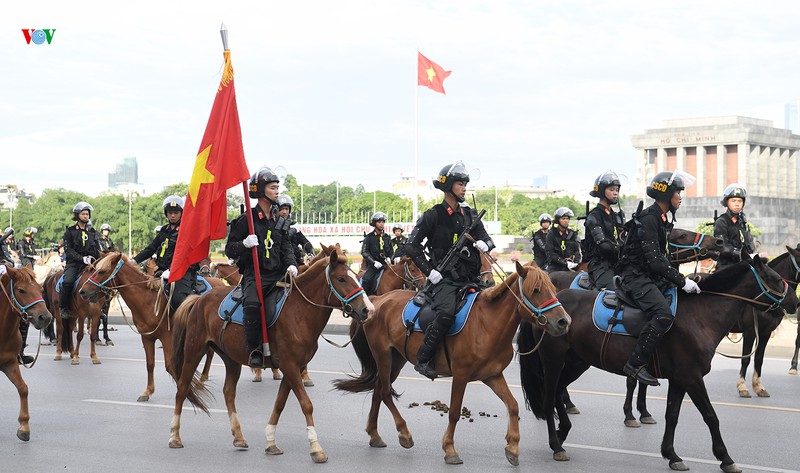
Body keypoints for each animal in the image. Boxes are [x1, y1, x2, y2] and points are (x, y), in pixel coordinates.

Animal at [0, 268, 52, 440]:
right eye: (21, 290)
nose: (45, 317)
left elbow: (23, 388)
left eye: (41, 289)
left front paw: (24, 426)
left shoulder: (9, 362)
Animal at [76, 253, 223, 400]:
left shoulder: (167, 338)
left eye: (102, 271)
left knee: (209, 353)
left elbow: (171, 366)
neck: (148, 300)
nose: (82, 291)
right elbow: (150, 364)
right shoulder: (147, 337)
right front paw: (148, 391)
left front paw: (186, 392)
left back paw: (202, 380)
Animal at [169, 243, 376, 460]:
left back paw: (238, 436)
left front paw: (270, 442)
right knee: (182, 388)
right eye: (342, 278)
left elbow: (279, 404)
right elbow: (306, 404)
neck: (300, 312)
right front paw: (316, 447)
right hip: (194, 351)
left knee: (228, 392)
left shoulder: (293, 367)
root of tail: (199, 299)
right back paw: (174, 436)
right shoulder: (290, 366)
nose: (368, 310)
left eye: (356, 276)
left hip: (231, 358)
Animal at [334, 262, 572, 464]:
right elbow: (455, 412)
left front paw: (512, 447)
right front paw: (449, 449)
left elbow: (513, 405)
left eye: (553, 287)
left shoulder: (492, 375)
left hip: (396, 359)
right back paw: (404, 433)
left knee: (378, 389)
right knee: (384, 392)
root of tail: (376, 300)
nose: (564, 321)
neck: (488, 324)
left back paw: (374, 435)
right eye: (536, 290)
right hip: (383, 356)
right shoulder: (461, 375)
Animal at [516, 254, 796, 472]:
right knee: (549, 396)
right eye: (774, 278)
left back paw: (563, 431)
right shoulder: (692, 378)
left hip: (577, 362)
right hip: (554, 361)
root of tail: (548, 306)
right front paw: (725, 457)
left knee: (557, 393)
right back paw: (556, 443)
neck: (701, 315)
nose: (796, 301)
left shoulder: (680, 379)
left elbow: (672, 415)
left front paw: (671, 454)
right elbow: (710, 416)